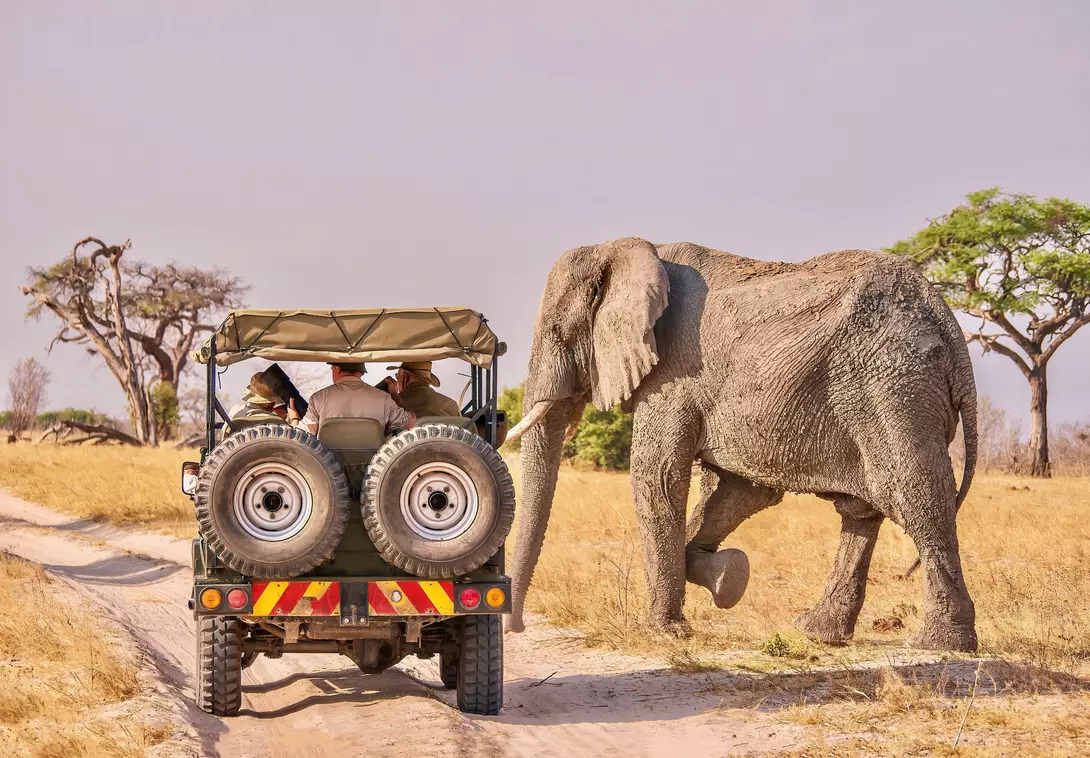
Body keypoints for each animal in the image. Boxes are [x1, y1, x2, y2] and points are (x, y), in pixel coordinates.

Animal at [504, 237, 979, 652]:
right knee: (862, 511)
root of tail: (948, 323)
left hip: (894, 386)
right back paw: (816, 632)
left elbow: (657, 476)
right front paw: (728, 577)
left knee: (915, 496)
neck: (626, 250)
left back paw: (938, 645)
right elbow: (743, 491)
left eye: (559, 332)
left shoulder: (674, 373)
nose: (516, 628)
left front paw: (664, 632)